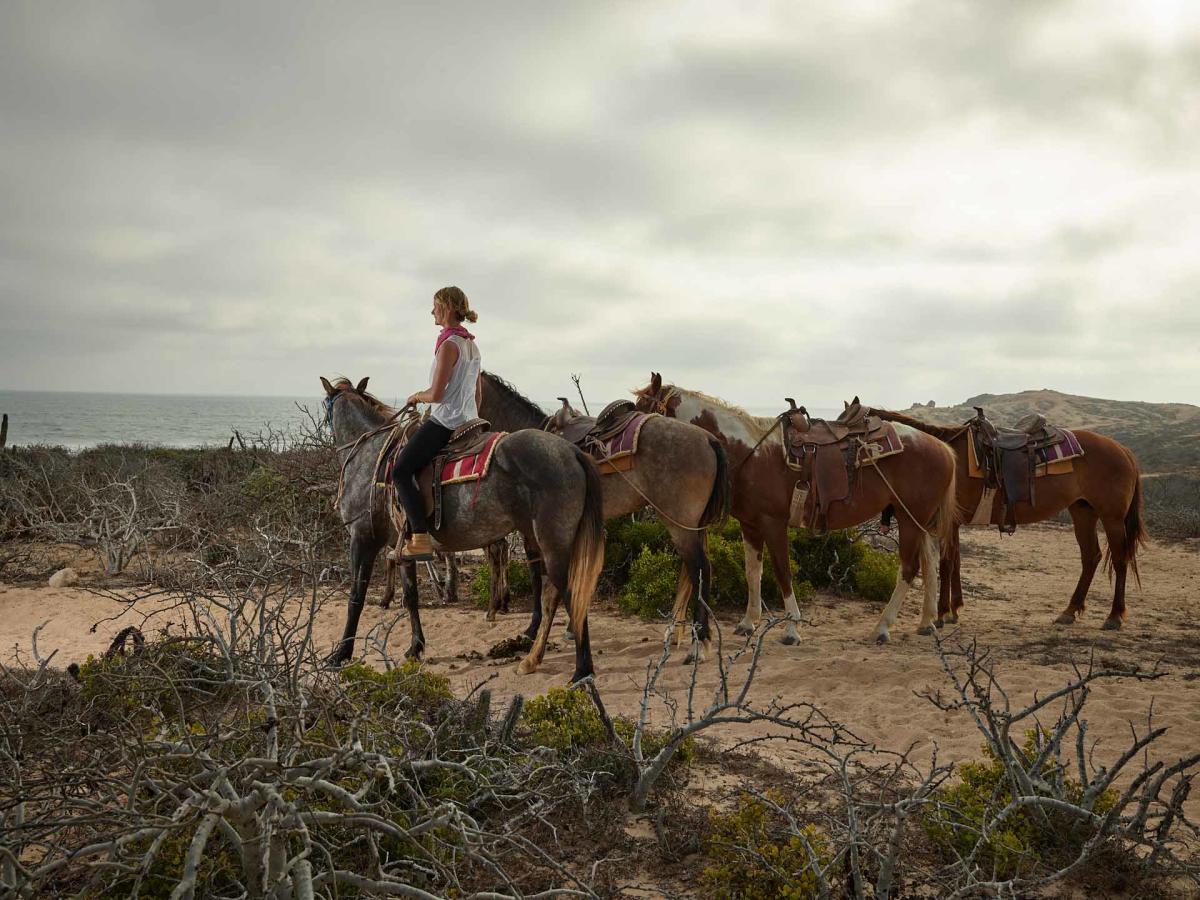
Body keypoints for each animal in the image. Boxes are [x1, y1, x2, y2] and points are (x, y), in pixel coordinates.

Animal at [321, 376, 604, 681]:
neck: (370, 456)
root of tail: (572, 451)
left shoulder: (362, 539)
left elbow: (356, 597)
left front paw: (341, 653)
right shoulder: (403, 547)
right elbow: (411, 596)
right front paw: (415, 647)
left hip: (552, 544)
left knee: (568, 594)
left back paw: (581, 669)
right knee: (556, 594)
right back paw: (533, 658)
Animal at [477, 374, 729, 662]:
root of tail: (709, 440)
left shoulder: (534, 530)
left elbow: (536, 576)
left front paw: (532, 627)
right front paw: (570, 628)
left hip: (680, 524)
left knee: (700, 569)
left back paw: (700, 643)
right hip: (690, 524)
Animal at [633, 376, 960, 643]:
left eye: (643, 409)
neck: (750, 453)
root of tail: (943, 448)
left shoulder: (773, 523)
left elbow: (782, 572)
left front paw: (791, 629)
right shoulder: (750, 525)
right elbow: (753, 572)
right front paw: (748, 623)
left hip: (909, 519)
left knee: (908, 568)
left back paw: (882, 627)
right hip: (918, 520)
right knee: (929, 562)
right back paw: (926, 622)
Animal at [873, 410, 1142, 628]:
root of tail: (1124, 450)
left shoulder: (949, 522)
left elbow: (947, 564)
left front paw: (941, 614)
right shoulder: (955, 523)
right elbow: (956, 562)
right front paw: (954, 610)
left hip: (1112, 518)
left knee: (1120, 560)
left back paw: (1114, 616)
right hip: (1083, 511)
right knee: (1091, 557)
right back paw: (1069, 611)